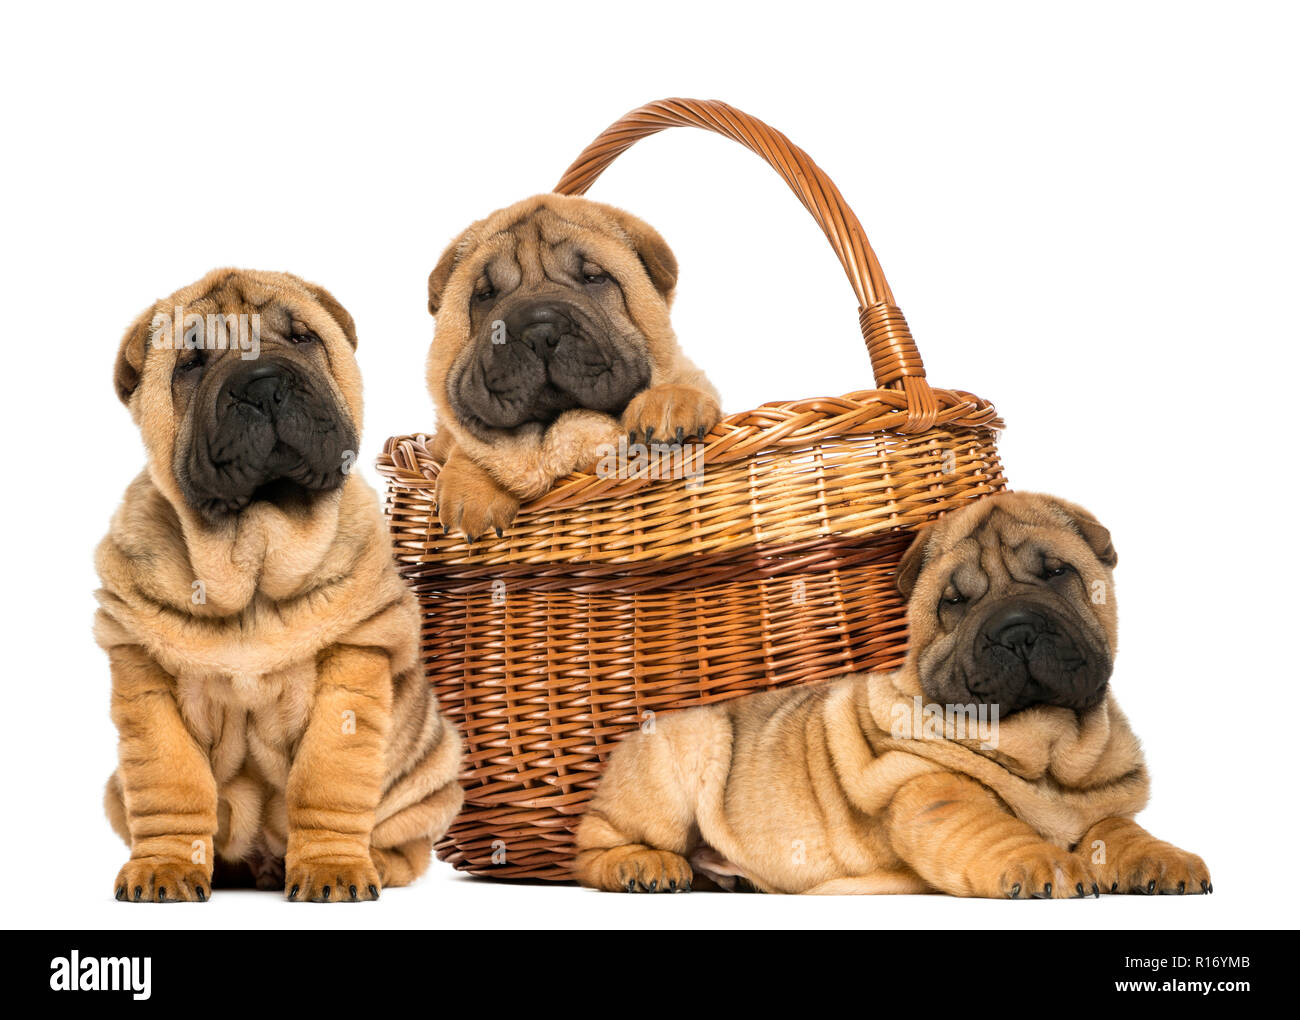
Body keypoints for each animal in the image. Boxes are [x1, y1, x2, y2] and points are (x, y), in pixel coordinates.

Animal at [97, 268, 462, 899]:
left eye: (302, 338)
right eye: (192, 362)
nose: (263, 384)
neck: (255, 559)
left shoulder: (354, 662)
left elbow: (328, 777)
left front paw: (334, 869)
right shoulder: (142, 672)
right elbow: (171, 783)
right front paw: (164, 868)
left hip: (433, 768)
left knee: (406, 842)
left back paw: (375, 861)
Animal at [431, 193, 728, 540]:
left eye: (593, 278)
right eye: (486, 294)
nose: (540, 333)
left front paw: (669, 404)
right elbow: (477, 444)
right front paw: (471, 488)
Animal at [577, 493, 1206, 899]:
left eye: (1056, 573)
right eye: (954, 602)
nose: (1017, 629)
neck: (1046, 744)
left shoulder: (1103, 805)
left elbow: (1120, 830)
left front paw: (1163, 858)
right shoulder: (929, 788)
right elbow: (994, 826)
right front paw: (1040, 862)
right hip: (683, 754)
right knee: (594, 844)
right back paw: (644, 865)